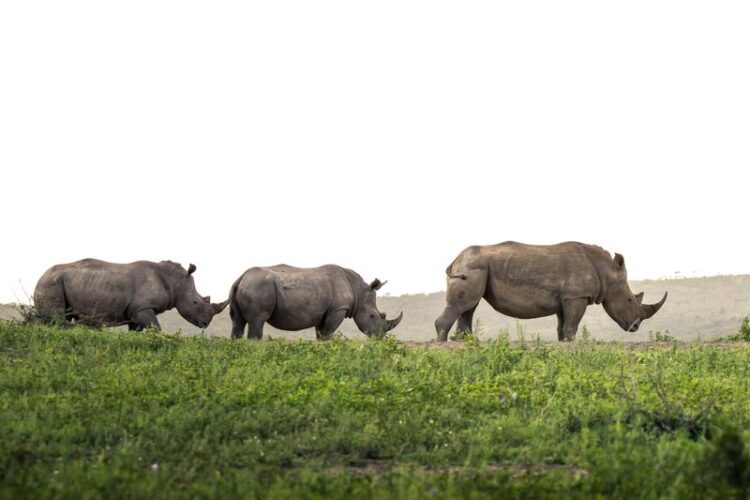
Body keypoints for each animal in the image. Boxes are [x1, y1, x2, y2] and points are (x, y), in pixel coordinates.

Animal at [34, 259, 229, 330]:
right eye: (195, 302)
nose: (206, 323)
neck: (175, 282)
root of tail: (40, 276)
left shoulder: (135, 311)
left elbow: (138, 331)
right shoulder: (143, 307)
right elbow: (156, 328)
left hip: (56, 282)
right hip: (52, 283)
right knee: (57, 319)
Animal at [228, 264, 403, 339]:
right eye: (373, 316)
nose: (380, 337)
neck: (358, 291)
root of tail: (241, 278)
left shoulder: (324, 312)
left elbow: (321, 334)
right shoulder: (338, 309)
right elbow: (328, 334)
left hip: (245, 287)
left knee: (237, 322)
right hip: (257, 287)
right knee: (257, 321)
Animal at [435, 242, 668, 341]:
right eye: (630, 300)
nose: (636, 326)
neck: (606, 270)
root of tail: (457, 258)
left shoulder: (566, 298)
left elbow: (562, 326)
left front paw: (564, 343)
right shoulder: (576, 296)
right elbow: (572, 325)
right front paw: (574, 344)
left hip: (476, 268)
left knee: (469, 307)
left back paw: (465, 342)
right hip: (473, 267)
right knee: (464, 305)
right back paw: (443, 344)